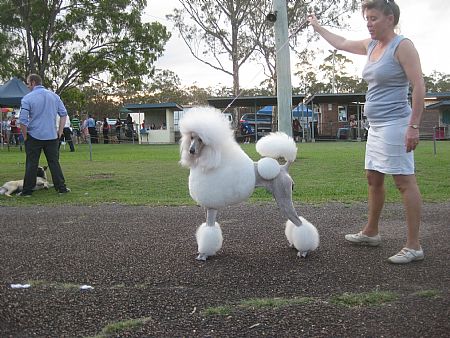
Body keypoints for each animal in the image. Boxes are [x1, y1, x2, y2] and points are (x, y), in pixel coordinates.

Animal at [179, 108, 320, 262]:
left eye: (201, 140)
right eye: (192, 137)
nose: (191, 151)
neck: (207, 162)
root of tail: (284, 168)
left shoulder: (211, 207)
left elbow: (209, 230)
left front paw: (203, 254)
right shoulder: (208, 207)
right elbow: (207, 227)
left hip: (284, 199)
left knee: (299, 223)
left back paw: (304, 250)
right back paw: (295, 244)